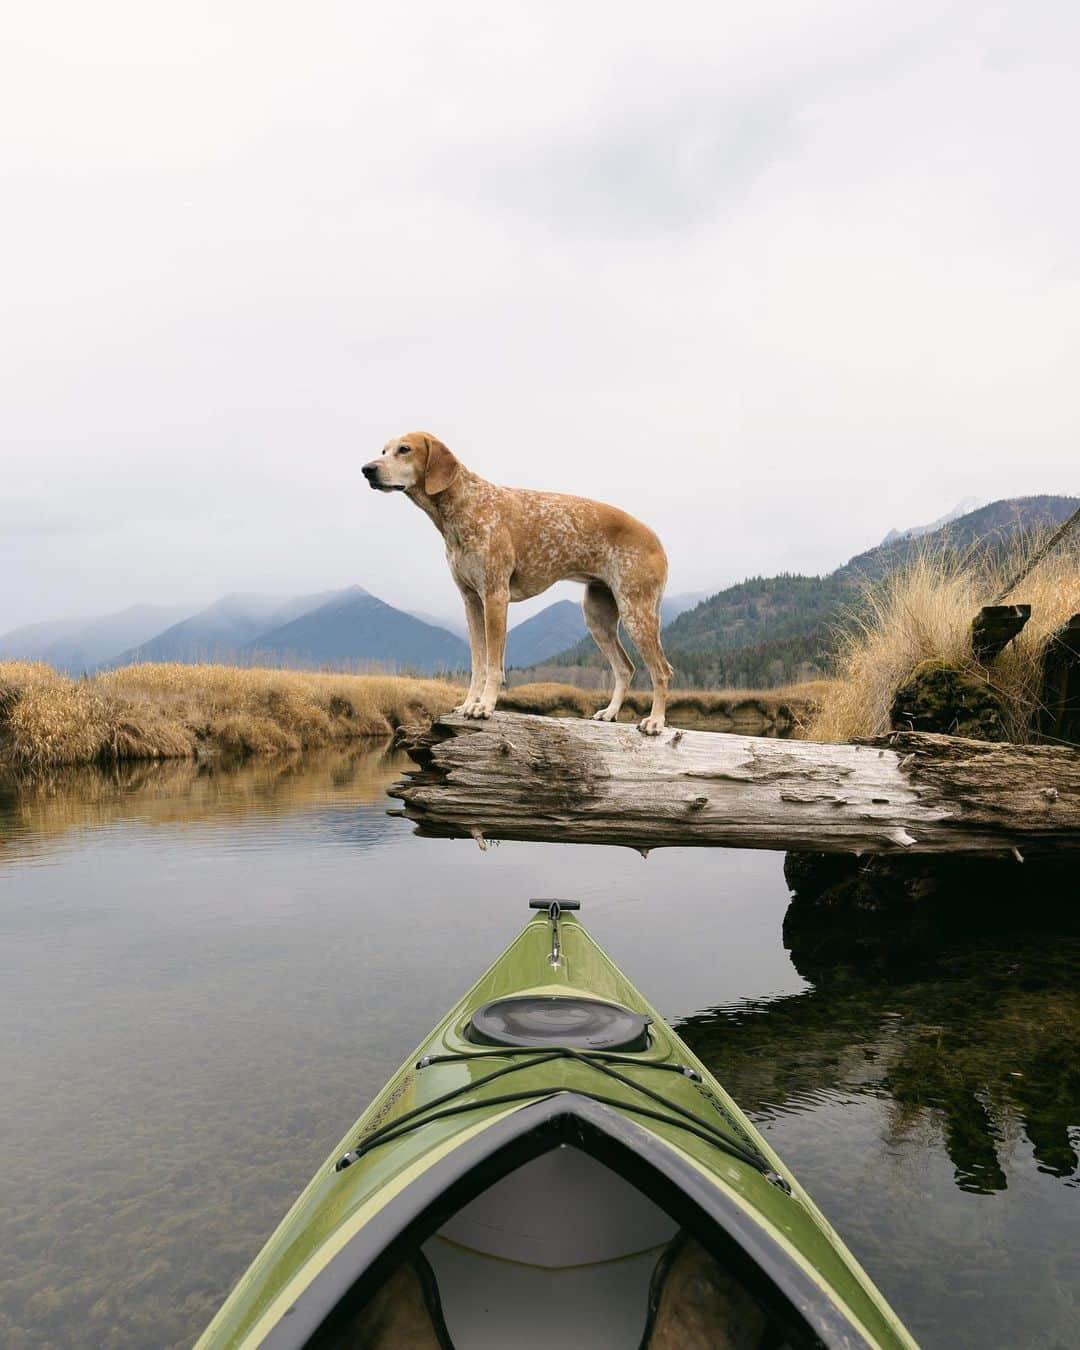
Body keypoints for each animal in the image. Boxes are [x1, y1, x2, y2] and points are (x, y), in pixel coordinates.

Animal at [361, 432, 669, 734]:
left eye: (404, 449)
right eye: (384, 450)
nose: (367, 469)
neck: (466, 505)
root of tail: (656, 539)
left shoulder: (495, 596)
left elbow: (493, 666)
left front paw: (484, 706)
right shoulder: (471, 601)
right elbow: (478, 664)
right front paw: (468, 703)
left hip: (636, 614)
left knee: (662, 671)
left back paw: (655, 721)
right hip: (598, 618)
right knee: (625, 668)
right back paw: (611, 712)